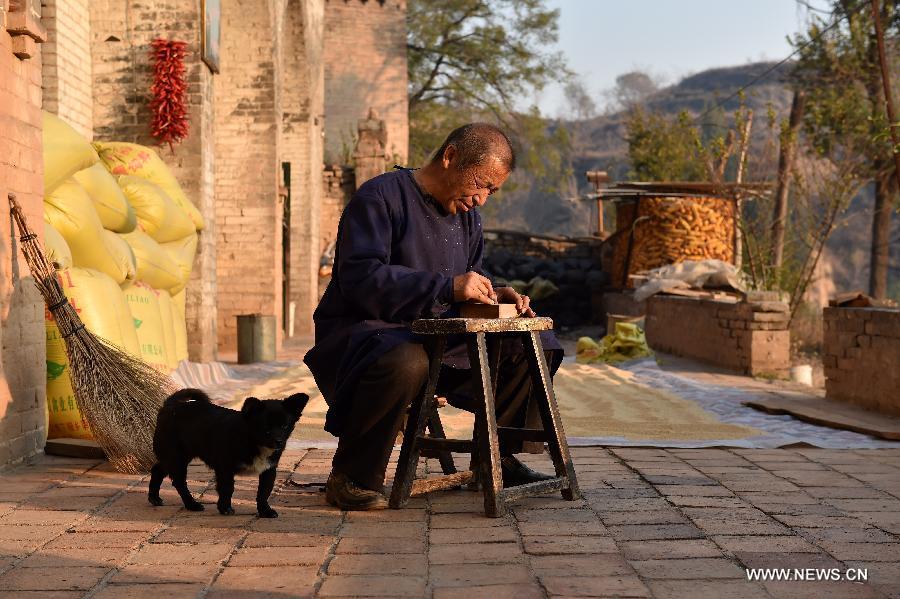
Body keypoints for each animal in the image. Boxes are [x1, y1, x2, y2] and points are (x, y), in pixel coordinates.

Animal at [148, 392, 310, 516]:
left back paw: (154, 498)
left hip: (174, 457)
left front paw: (265, 511)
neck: (253, 441)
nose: (279, 442)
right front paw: (225, 508)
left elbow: (264, 492)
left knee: (157, 470)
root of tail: (169, 406)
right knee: (179, 482)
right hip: (176, 457)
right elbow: (227, 488)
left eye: (285, 426)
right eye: (266, 429)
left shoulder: (268, 470)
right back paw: (192, 505)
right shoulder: (224, 468)